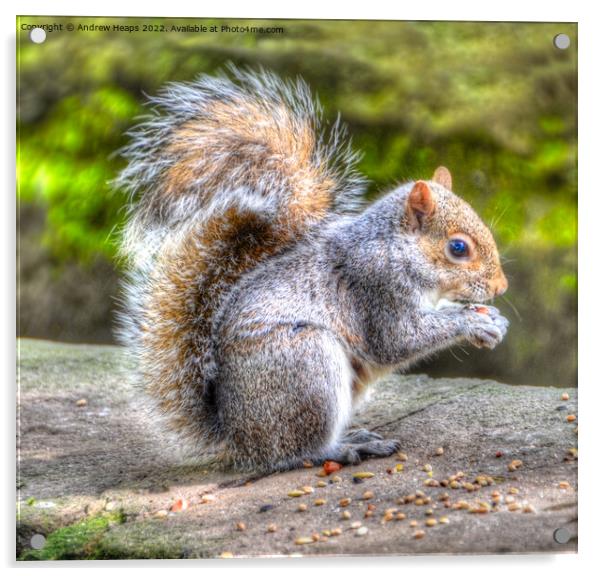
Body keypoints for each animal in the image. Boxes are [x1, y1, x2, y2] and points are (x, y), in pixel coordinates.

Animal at [116, 67, 506, 472]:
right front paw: (471, 321)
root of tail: (238, 437)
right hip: (307, 365)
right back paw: (341, 448)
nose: (501, 287)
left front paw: (492, 319)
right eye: (458, 248)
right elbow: (398, 339)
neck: (396, 249)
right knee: (296, 450)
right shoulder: (375, 288)